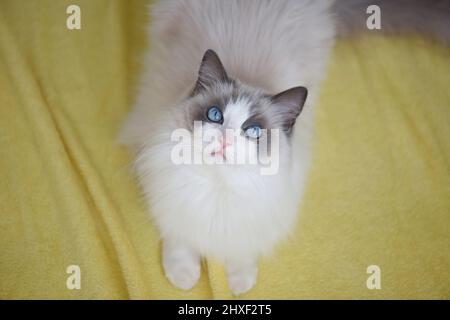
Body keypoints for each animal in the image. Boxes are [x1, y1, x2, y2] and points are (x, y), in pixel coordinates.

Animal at [120, 0, 450, 296]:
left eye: (253, 131)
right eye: (215, 115)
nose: (226, 139)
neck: (218, 190)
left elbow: (242, 250)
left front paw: (239, 283)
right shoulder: (167, 194)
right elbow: (178, 235)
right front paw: (183, 276)